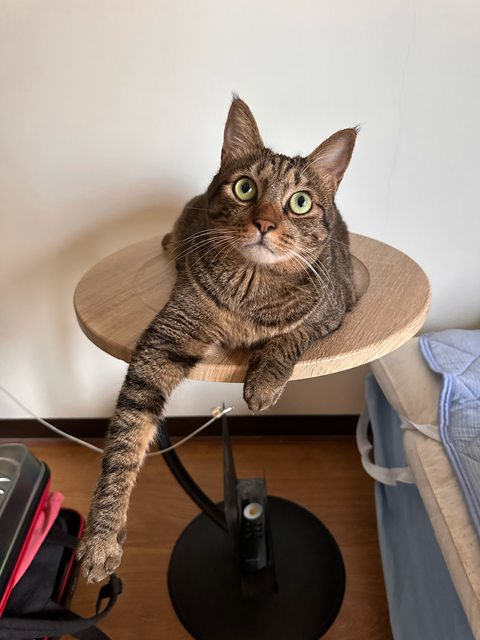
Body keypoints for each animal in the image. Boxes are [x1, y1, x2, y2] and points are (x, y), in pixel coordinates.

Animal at [77, 97, 358, 583]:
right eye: (244, 189)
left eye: (300, 202)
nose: (264, 223)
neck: (252, 285)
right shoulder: (168, 337)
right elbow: (127, 436)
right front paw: (102, 536)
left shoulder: (335, 306)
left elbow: (290, 337)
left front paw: (262, 384)